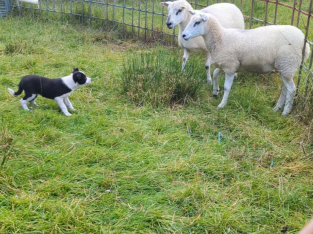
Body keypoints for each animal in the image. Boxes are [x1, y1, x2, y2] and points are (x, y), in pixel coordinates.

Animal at [180, 11, 310, 115]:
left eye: (197, 22)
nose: (183, 35)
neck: (220, 38)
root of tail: (304, 42)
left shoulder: (230, 67)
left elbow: (227, 87)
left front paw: (222, 104)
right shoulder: (226, 65)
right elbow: (215, 73)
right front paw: (215, 91)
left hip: (287, 64)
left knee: (292, 90)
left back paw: (285, 112)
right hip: (283, 68)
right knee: (285, 89)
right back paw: (277, 108)